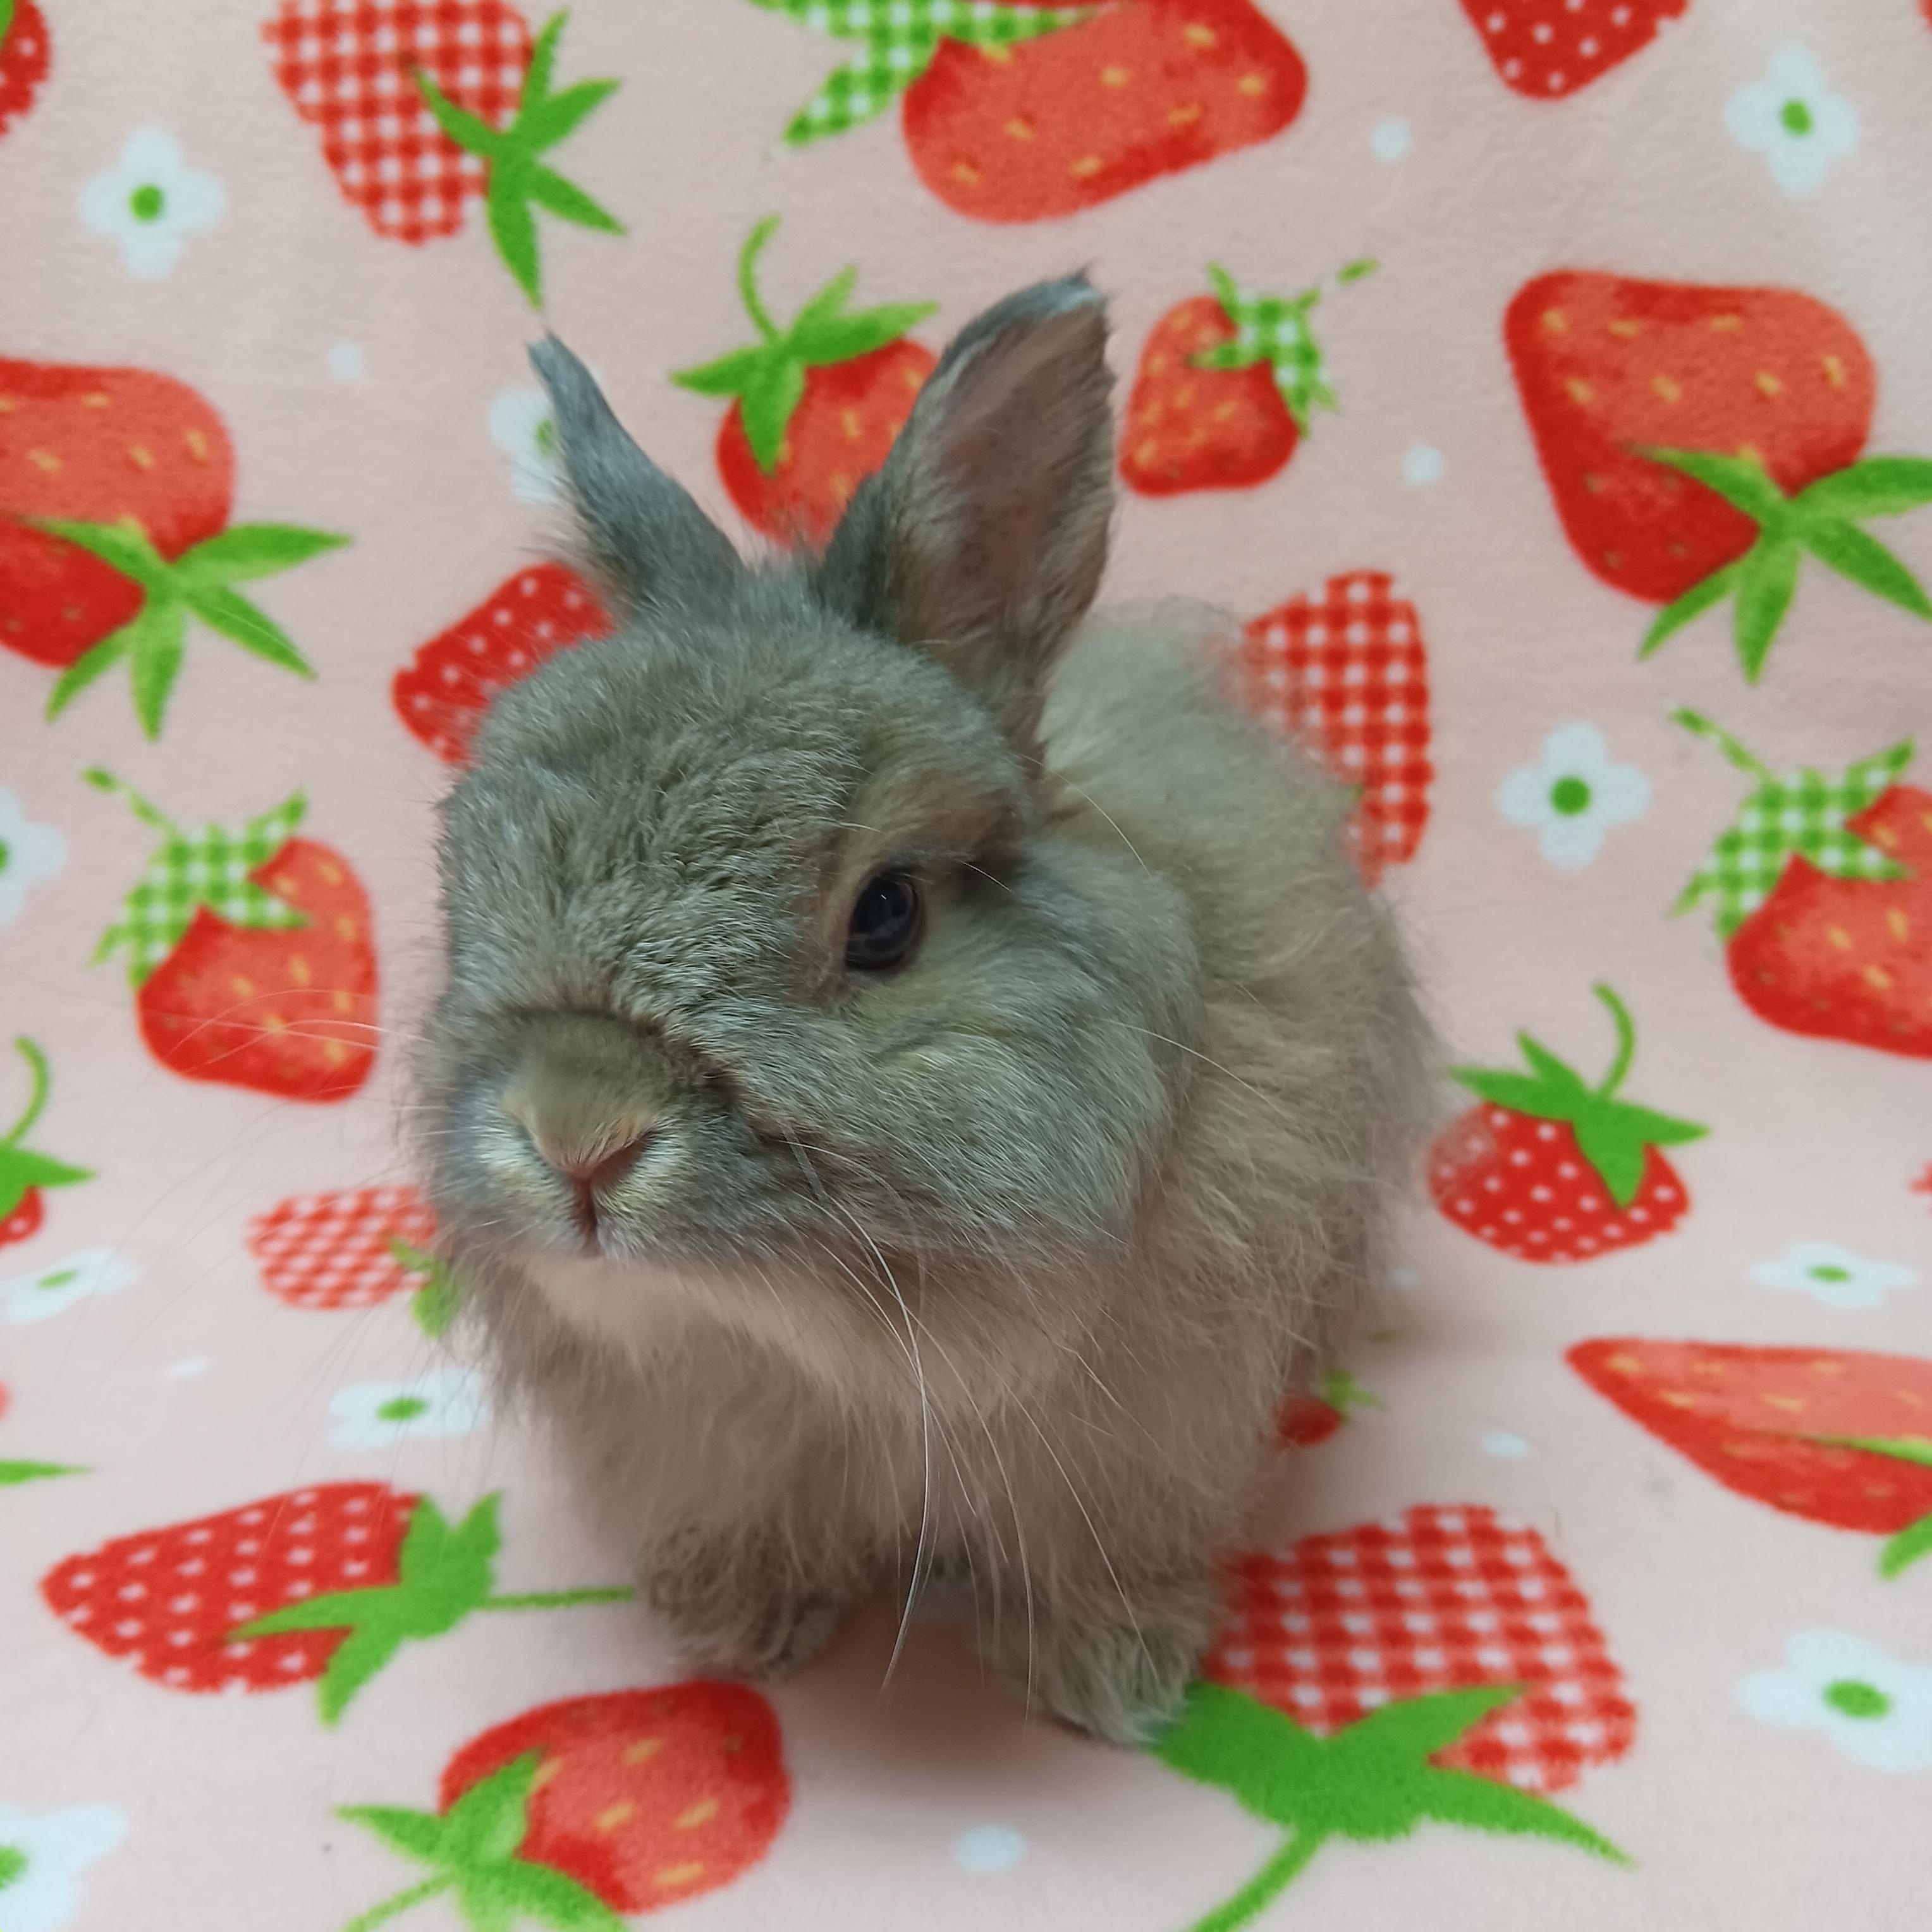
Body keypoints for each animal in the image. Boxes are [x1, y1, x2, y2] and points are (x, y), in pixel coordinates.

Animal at [415, 274, 1436, 1745]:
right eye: (466, 870)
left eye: (887, 915)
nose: (576, 1135)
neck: (822, 1353)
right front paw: (735, 1628)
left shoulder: (1136, 1450)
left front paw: (1107, 1680)